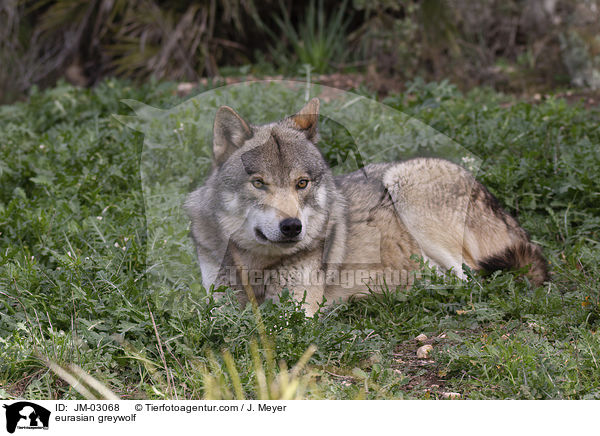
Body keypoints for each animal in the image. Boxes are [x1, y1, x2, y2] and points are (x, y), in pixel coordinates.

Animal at [186, 98, 548, 316]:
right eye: (259, 183)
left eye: (302, 183)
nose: (292, 226)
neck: (256, 263)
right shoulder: (217, 303)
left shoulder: (297, 310)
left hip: (404, 184)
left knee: (468, 280)